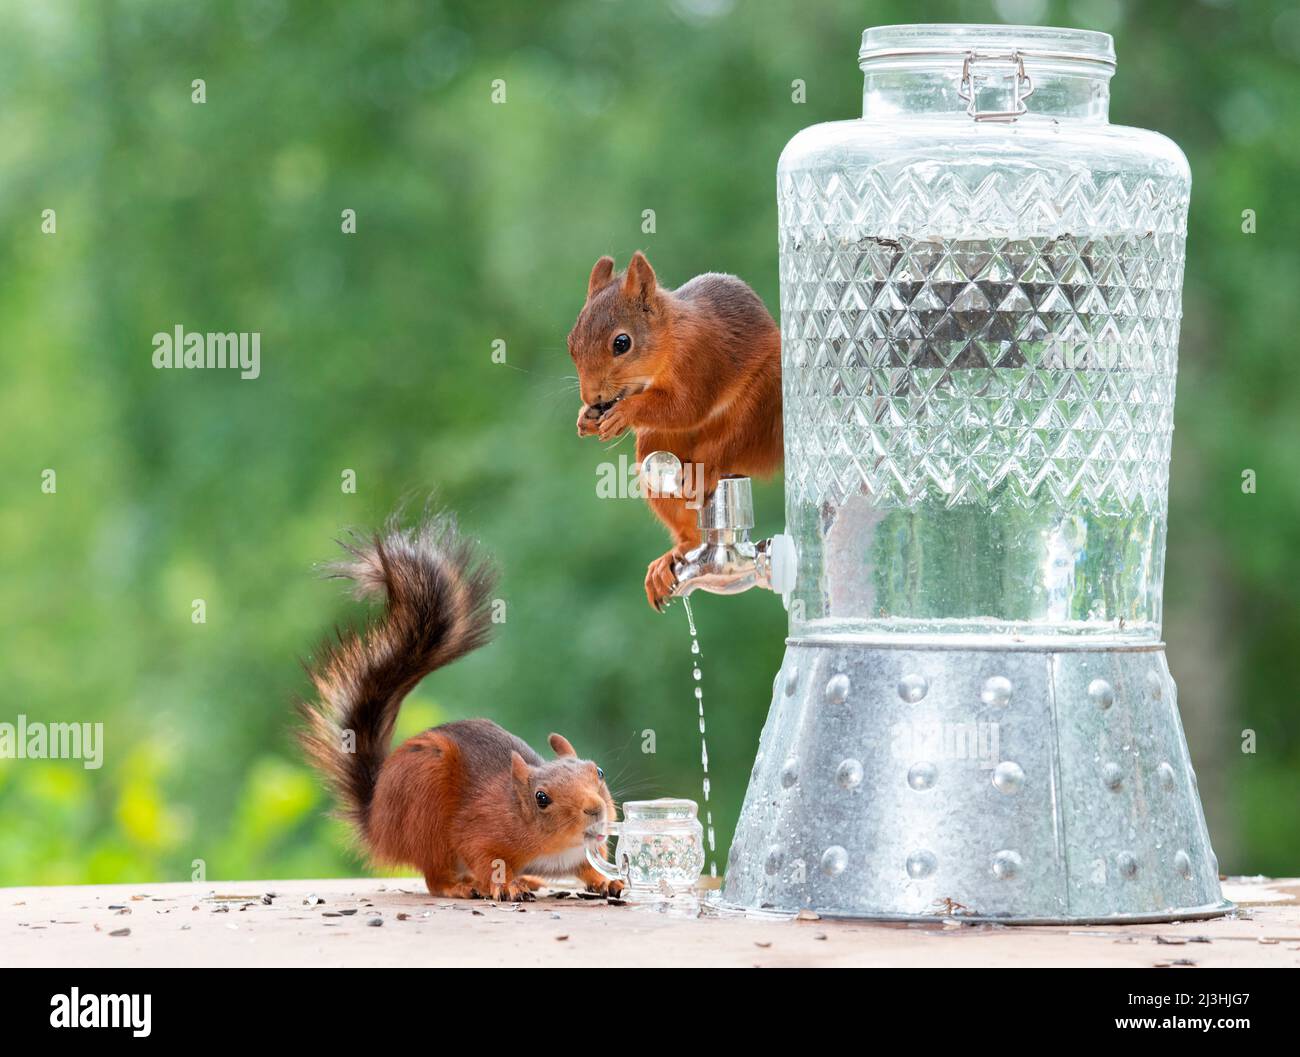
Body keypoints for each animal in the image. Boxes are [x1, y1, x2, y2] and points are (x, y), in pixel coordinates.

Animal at [297, 512, 621, 899]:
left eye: (598, 772)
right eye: (542, 798)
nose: (595, 809)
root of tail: (376, 822)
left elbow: (589, 865)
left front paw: (607, 880)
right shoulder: (479, 830)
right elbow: (486, 859)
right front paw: (505, 886)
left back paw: (526, 878)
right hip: (425, 809)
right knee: (434, 876)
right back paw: (462, 887)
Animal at [569, 250, 780, 605]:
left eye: (622, 343)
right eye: (571, 343)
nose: (592, 397)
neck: (670, 337)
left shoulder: (700, 358)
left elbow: (684, 407)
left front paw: (624, 412)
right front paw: (586, 417)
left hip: (755, 411)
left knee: (726, 445)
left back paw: (705, 471)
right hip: (656, 450)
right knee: (689, 534)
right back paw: (671, 557)